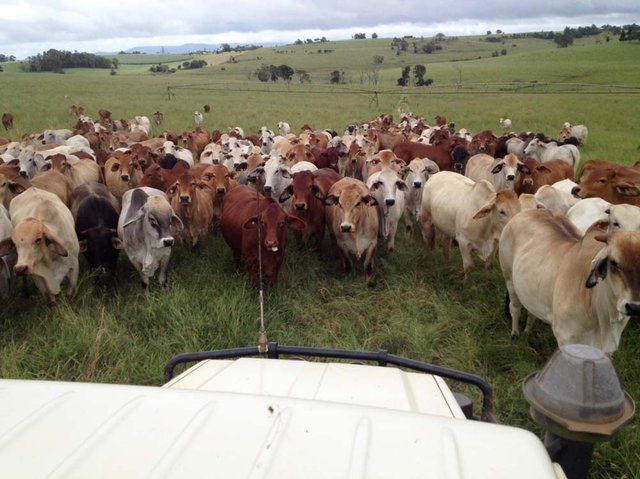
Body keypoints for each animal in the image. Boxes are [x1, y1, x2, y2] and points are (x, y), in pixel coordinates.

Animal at [500, 208, 640, 354]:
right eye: (613, 262)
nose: (634, 307)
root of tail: (531, 210)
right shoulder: (565, 339)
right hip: (509, 278)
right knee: (514, 307)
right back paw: (515, 333)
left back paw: (527, 331)